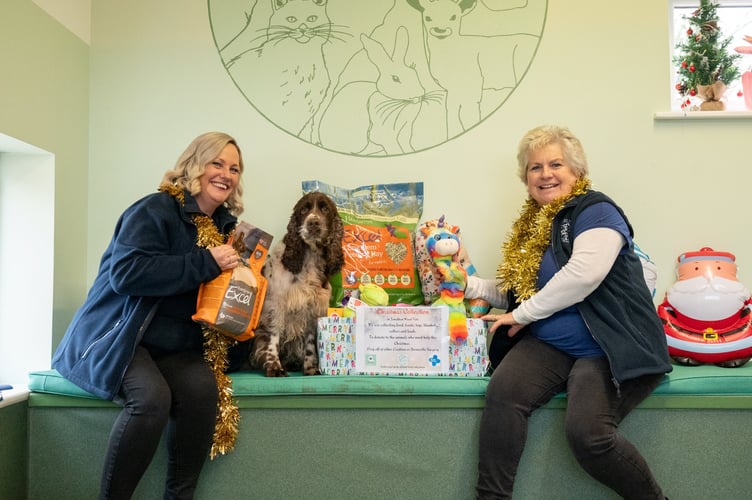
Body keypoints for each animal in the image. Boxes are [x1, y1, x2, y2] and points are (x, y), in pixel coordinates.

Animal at [253, 191, 346, 376]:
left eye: (325, 209)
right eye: (304, 210)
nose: (313, 223)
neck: (309, 257)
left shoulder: (312, 309)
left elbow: (310, 343)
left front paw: (310, 368)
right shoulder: (276, 304)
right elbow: (273, 337)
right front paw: (275, 367)